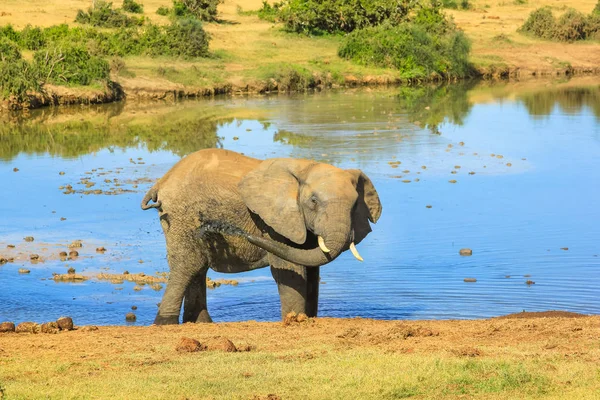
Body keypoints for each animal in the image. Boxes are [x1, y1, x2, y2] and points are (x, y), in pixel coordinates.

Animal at [142, 148, 380, 324]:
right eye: (313, 201)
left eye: (355, 205)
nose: (229, 229)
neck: (305, 167)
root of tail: (161, 182)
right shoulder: (275, 220)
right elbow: (288, 269)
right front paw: (295, 321)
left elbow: (312, 269)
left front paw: (308, 319)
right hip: (181, 215)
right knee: (189, 264)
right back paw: (165, 323)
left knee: (198, 266)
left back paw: (200, 323)